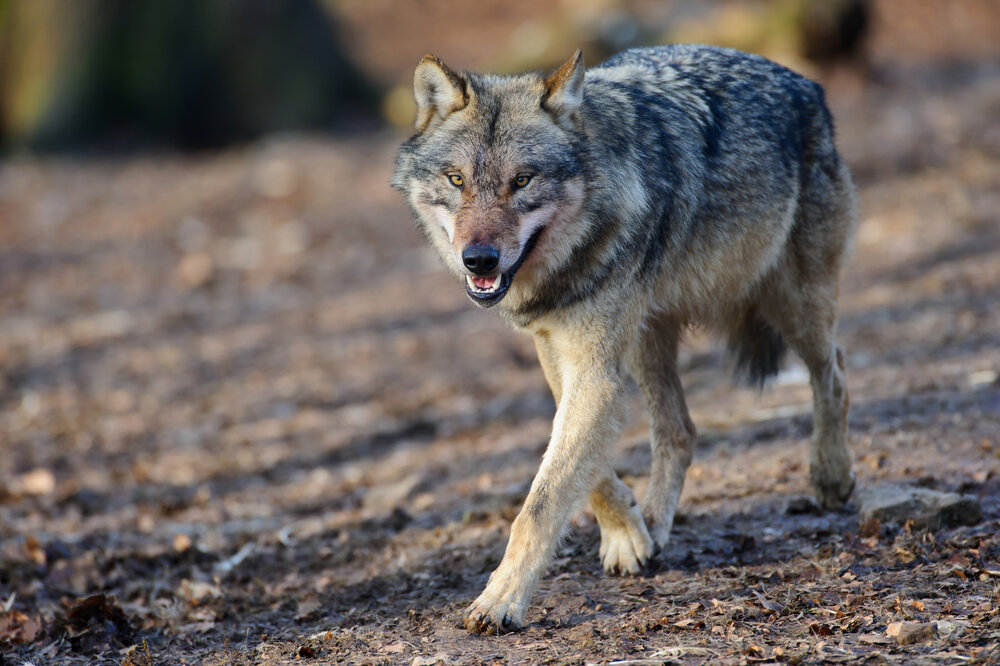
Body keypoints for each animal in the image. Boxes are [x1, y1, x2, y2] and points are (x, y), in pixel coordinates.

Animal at [390, 42, 860, 632]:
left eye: (522, 181)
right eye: (456, 180)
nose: (479, 260)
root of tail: (806, 83)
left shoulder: (594, 367)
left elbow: (540, 504)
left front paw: (500, 600)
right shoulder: (557, 351)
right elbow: (582, 472)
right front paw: (627, 533)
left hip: (793, 307)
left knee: (834, 371)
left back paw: (831, 476)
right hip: (647, 341)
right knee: (681, 430)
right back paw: (655, 526)